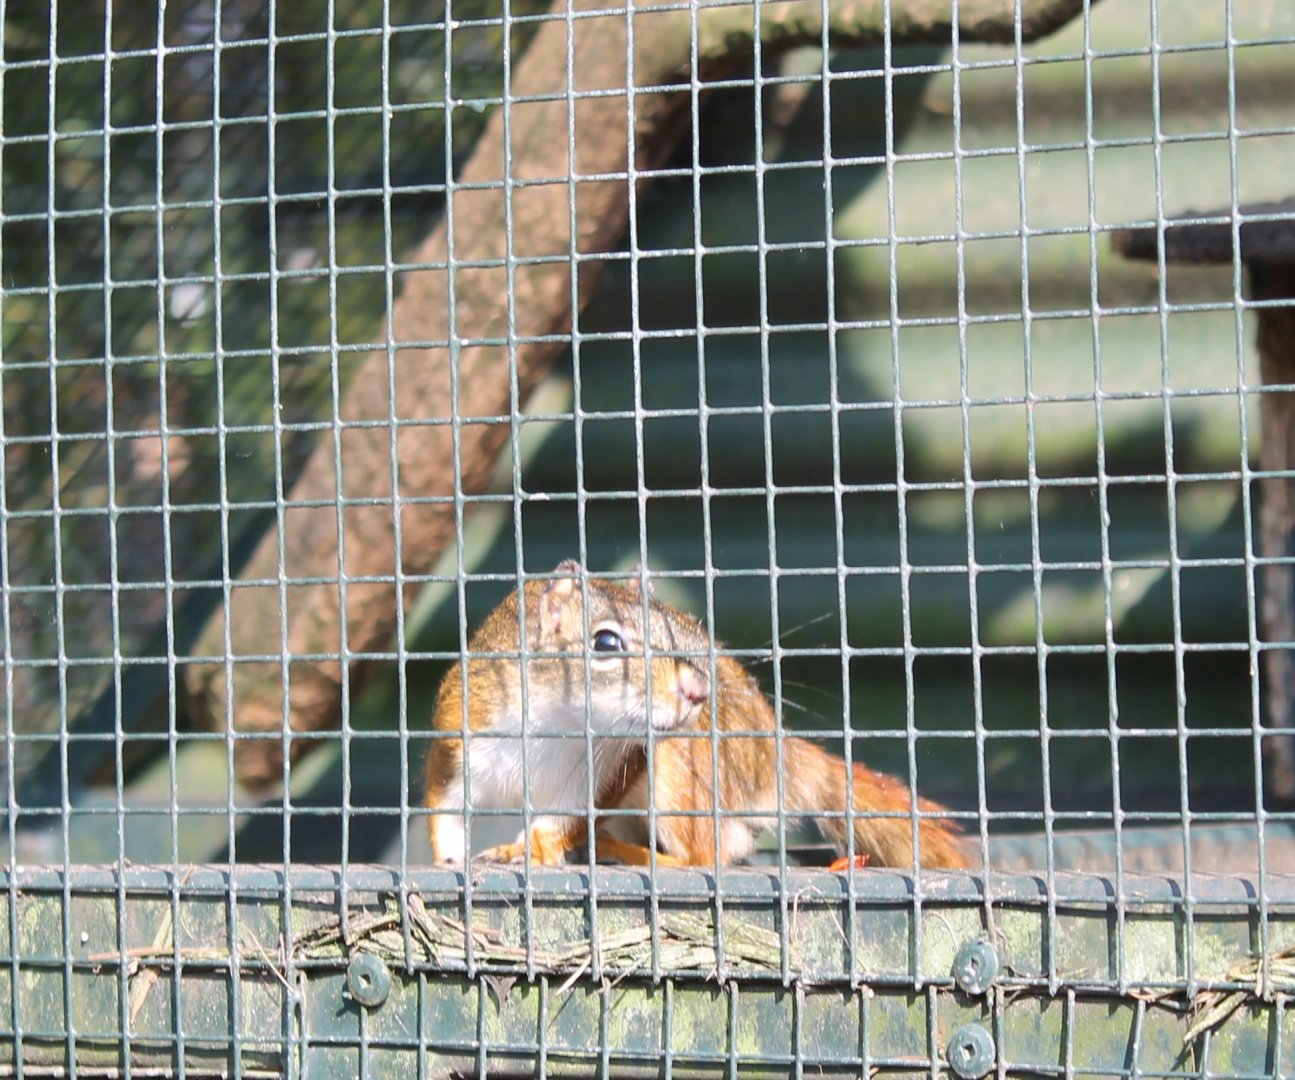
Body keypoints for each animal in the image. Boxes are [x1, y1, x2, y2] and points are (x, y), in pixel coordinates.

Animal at [424, 561, 968, 870]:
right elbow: (445, 806)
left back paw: (626, 854)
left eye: (693, 632)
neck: (558, 726)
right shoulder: (460, 734)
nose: (700, 690)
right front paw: (447, 857)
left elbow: (557, 825)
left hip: (686, 764)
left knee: (701, 856)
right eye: (605, 642)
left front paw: (525, 851)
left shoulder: (600, 776)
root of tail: (774, 752)